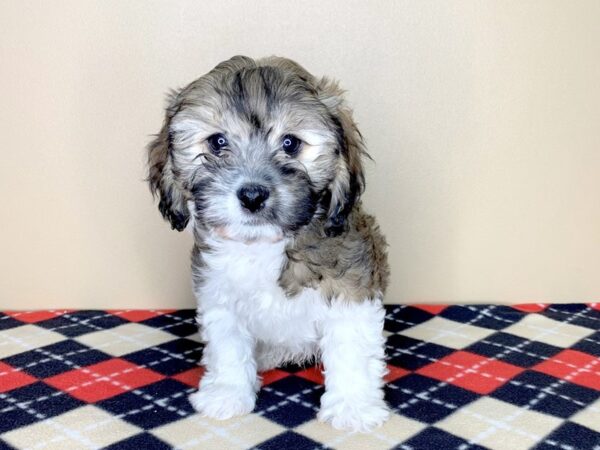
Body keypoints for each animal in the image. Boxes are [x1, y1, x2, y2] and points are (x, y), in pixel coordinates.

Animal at [148, 56, 392, 432]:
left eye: (290, 143)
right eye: (217, 142)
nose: (252, 195)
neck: (262, 244)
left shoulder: (350, 292)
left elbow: (351, 348)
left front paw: (353, 406)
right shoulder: (219, 296)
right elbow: (228, 347)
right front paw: (228, 392)